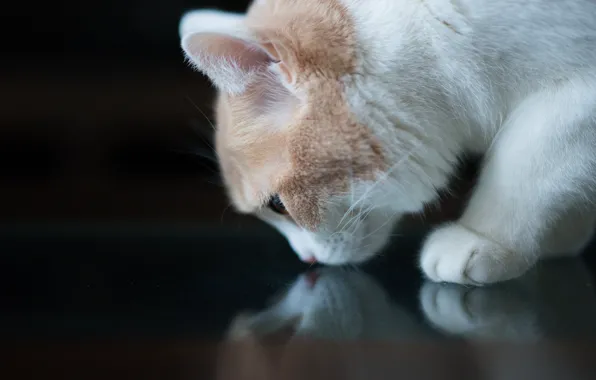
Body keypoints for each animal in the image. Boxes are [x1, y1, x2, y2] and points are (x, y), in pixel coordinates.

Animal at [179, 0, 596, 284]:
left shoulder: (578, 96)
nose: (307, 260)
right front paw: (561, 234)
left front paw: (486, 237)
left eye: (278, 206)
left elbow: (524, 163)